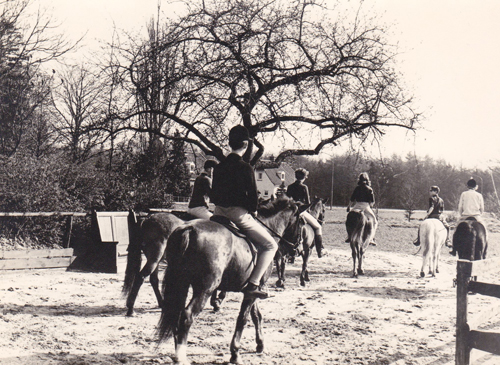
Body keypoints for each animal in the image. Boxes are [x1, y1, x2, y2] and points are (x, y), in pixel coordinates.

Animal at [156, 198, 306, 362]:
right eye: (302, 223)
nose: (298, 250)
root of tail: (188, 229)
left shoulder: (252, 291)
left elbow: (256, 316)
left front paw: (260, 344)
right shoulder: (251, 292)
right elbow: (243, 318)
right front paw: (235, 353)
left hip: (181, 283)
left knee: (176, 316)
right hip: (205, 288)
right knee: (187, 316)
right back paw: (181, 356)